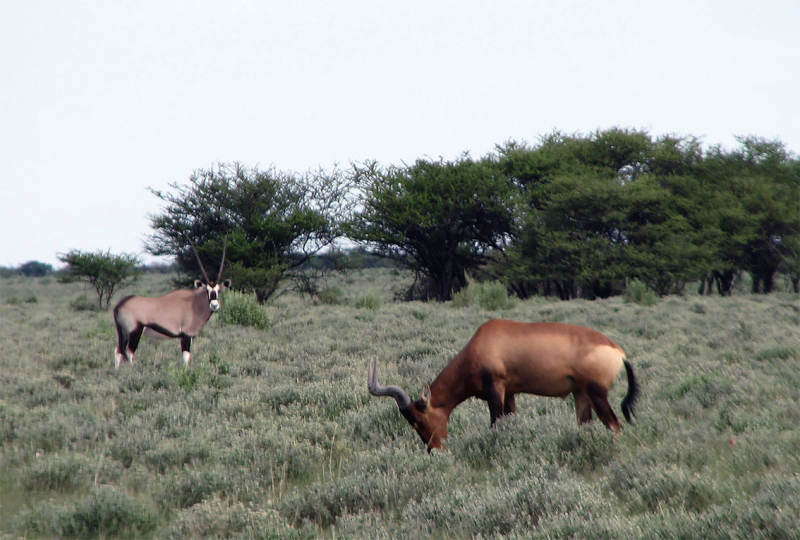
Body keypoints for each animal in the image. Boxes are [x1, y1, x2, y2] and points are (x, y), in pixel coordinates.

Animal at [110, 240, 228, 368]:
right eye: (207, 290)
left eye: (219, 290)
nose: (214, 305)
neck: (194, 303)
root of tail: (120, 305)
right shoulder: (186, 335)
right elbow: (186, 357)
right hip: (135, 332)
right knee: (129, 353)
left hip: (123, 332)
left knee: (118, 351)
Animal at [368, 320, 636, 452]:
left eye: (420, 420)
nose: (435, 450)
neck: (483, 341)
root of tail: (619, 352)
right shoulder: (510, 393)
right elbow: (510, 423)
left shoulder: (495, 390)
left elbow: (495, 424)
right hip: (580, 393)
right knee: (586, 425)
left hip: (596, 393)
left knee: (615, 425)